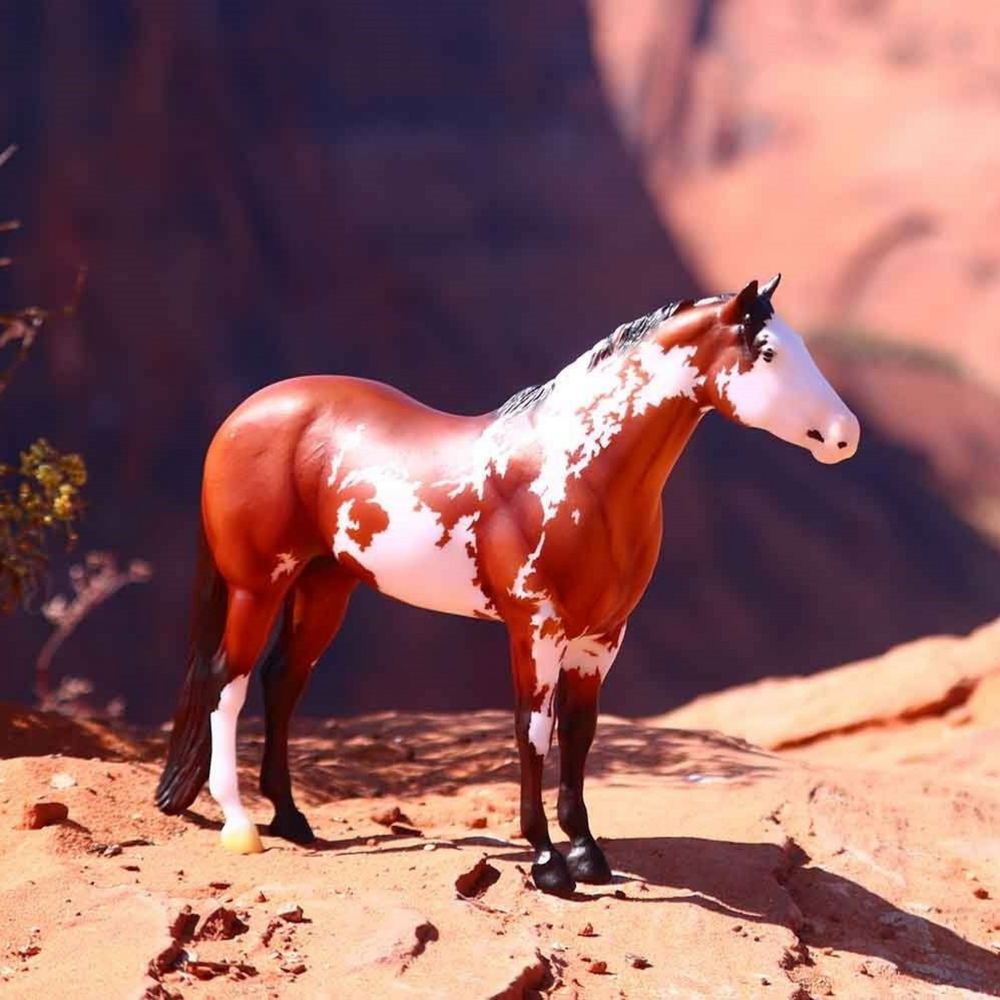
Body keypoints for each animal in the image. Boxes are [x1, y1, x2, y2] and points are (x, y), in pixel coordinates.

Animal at [154, 274, 860, 892]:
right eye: (767, 352)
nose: (845, 436)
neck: (575, 473)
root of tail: (244, 416)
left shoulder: (602, 637)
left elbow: (580, 733)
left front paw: (588, 854)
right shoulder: (536, 630)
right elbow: (533, 731)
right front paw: (548, 863)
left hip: (326, 585)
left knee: (282, 681)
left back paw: (292, 818)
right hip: (257, 584)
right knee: (227, 682)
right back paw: (242, 825)